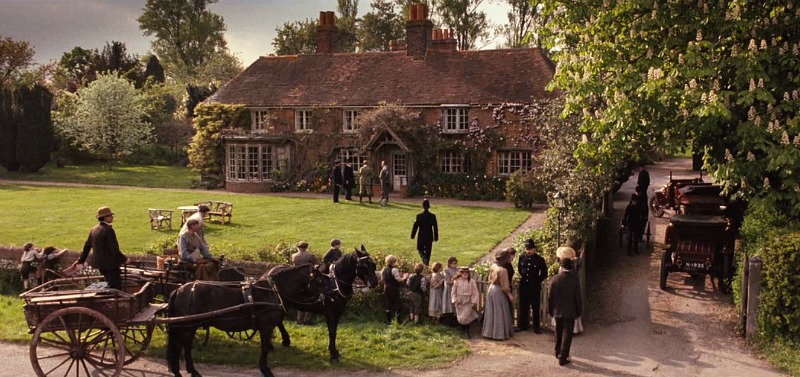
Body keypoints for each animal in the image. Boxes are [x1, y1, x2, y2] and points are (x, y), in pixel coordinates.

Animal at [166, 262, 318, 376]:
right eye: (321, 278)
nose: (324, 297)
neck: (271, 291)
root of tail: (179, 290)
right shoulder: (266, 327)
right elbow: (264, 348)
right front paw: (265, 369)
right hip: (188, 326)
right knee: (182, 346)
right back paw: (184, 370)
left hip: (187, 327)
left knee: (184, 346)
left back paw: (187, 370)